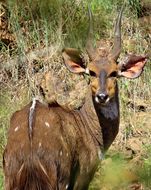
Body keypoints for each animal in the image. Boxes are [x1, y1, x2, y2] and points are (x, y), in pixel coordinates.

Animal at [3, 5, 147, 190]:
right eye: (91, 72)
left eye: (114, 73)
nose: (102, 96)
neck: (90, 129)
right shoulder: (83, 174)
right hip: (60, 177)